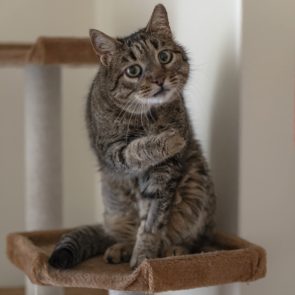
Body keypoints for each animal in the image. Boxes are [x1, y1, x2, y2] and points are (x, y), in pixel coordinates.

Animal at [48, 3, 215, 270]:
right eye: (134, 70)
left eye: (164, 57)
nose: (158, 79)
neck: (149, 118)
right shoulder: (111, 152)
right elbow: (135, 149)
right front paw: (170, 139)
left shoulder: (163, 176)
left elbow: (152, 223)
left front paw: (144, 259)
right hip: (115, 205)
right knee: (122, 233)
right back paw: (120, 248)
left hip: (198, 187)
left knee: (197, 238)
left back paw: (176, 250)